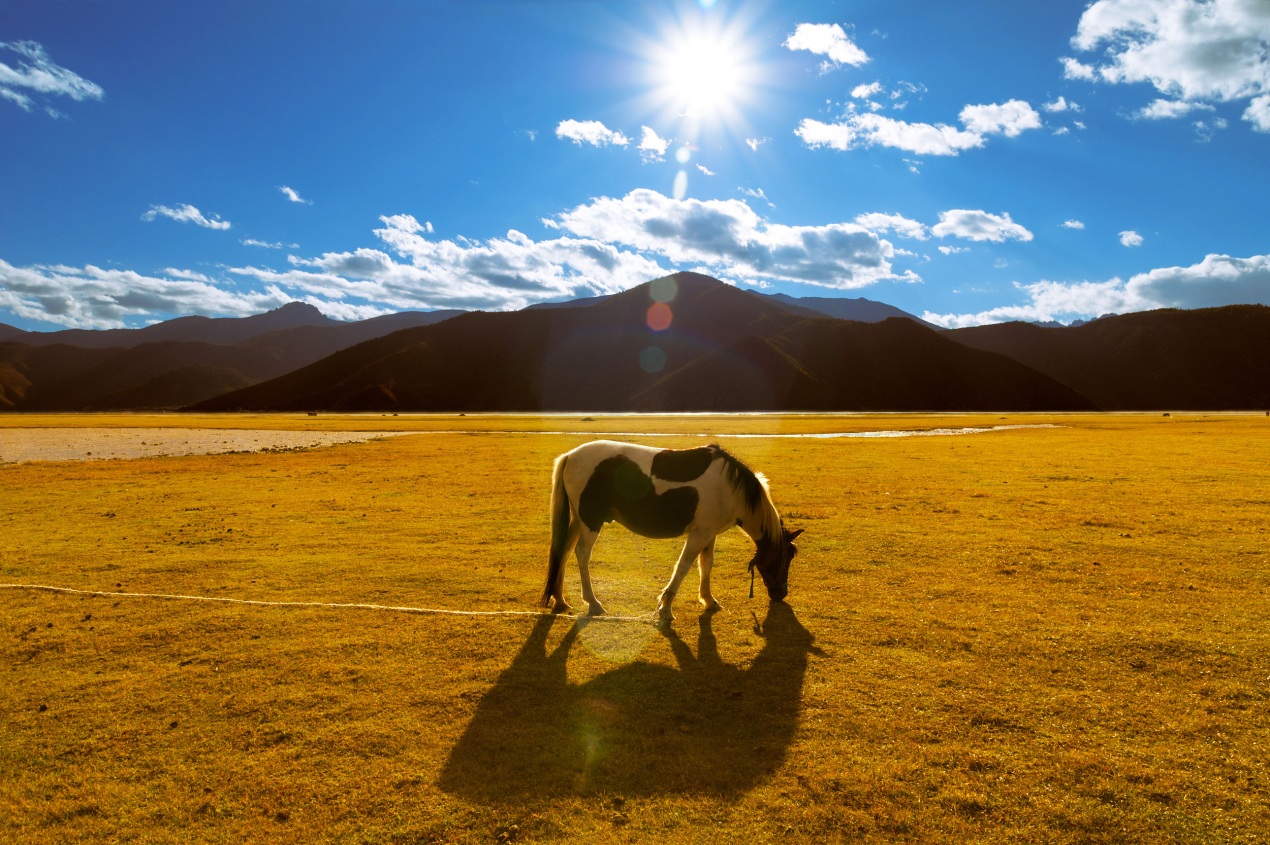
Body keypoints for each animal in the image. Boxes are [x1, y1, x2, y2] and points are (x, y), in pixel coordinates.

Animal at [538, 442, 797, 620]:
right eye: (786, 557)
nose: (781, 593)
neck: (731, 488)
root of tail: (571, 456)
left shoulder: (709, 533)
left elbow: (706, 564)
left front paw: (709, 600)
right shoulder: (699, 534)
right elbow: (683, 567)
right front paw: (666, 607)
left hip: (577, 520)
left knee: (563, 552)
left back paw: (560, 600)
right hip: (590, 522)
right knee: (582, 554)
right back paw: (593, 602)